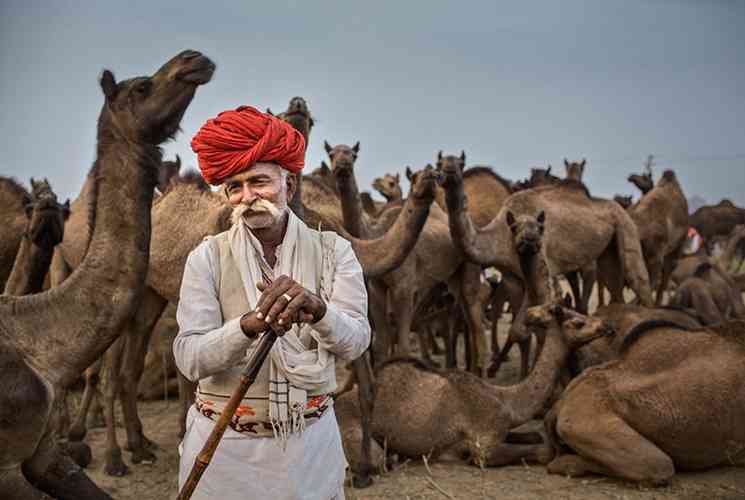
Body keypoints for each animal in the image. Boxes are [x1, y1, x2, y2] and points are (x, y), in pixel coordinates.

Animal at [372, 300, 612, 468]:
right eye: (579, 323)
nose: (607, 325)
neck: (508, 401)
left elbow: (533, 435)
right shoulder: (483, 446)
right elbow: (543, 452)